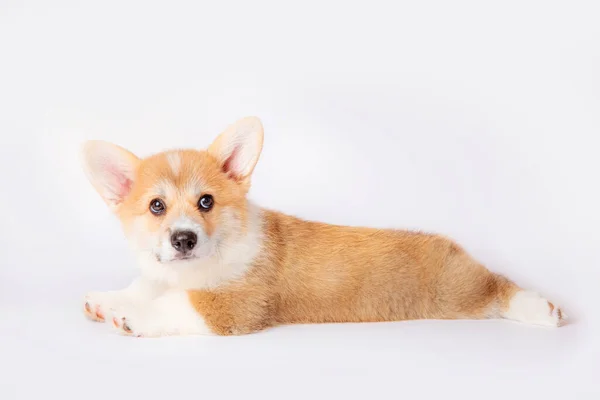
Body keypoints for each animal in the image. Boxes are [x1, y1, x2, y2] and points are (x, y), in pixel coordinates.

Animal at [81, 116, 568, 338]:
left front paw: (131, 316)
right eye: (156, 206)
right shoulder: (162, 273)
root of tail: (450, 245)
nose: (184, 239)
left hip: (458, 290)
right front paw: (106, 300)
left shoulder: (235, 306)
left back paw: (542, 309)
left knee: (498, 286)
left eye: (207, 202)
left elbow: (173, 304)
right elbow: (143, 285)